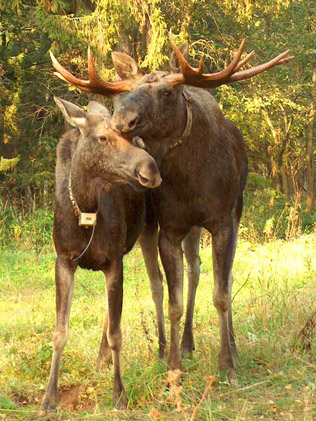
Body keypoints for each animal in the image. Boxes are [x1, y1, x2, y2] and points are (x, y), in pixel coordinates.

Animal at [47, 32, 294, 410]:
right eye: (124, 92)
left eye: (166, 92)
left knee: (211, 275)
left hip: (232, 212)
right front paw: (173, 371)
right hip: (167, 229)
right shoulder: (170, 227)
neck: (190, 178)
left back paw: (226, 344)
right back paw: (178, 346)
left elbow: (221, 295)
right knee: (182, 274)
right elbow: (173, 301)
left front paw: (228, 366)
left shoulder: (223, 222)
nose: (122, 121)